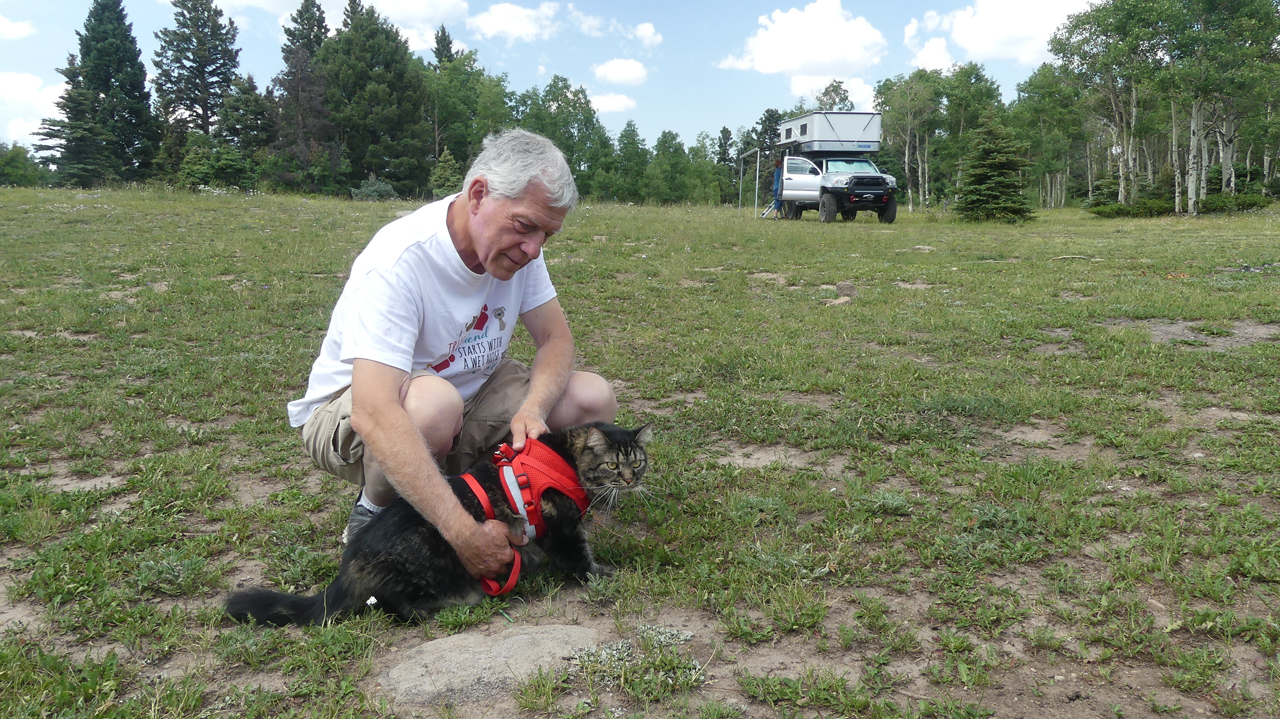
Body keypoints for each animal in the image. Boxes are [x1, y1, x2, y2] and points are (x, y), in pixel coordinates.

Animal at [225, 419, 650, 621]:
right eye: (613, 465)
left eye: (638, 462)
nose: (632, 480)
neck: (564, 459)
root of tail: (350, 565)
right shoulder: (560, 526)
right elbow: (582, 560)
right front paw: (606, 574)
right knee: (391, 607)